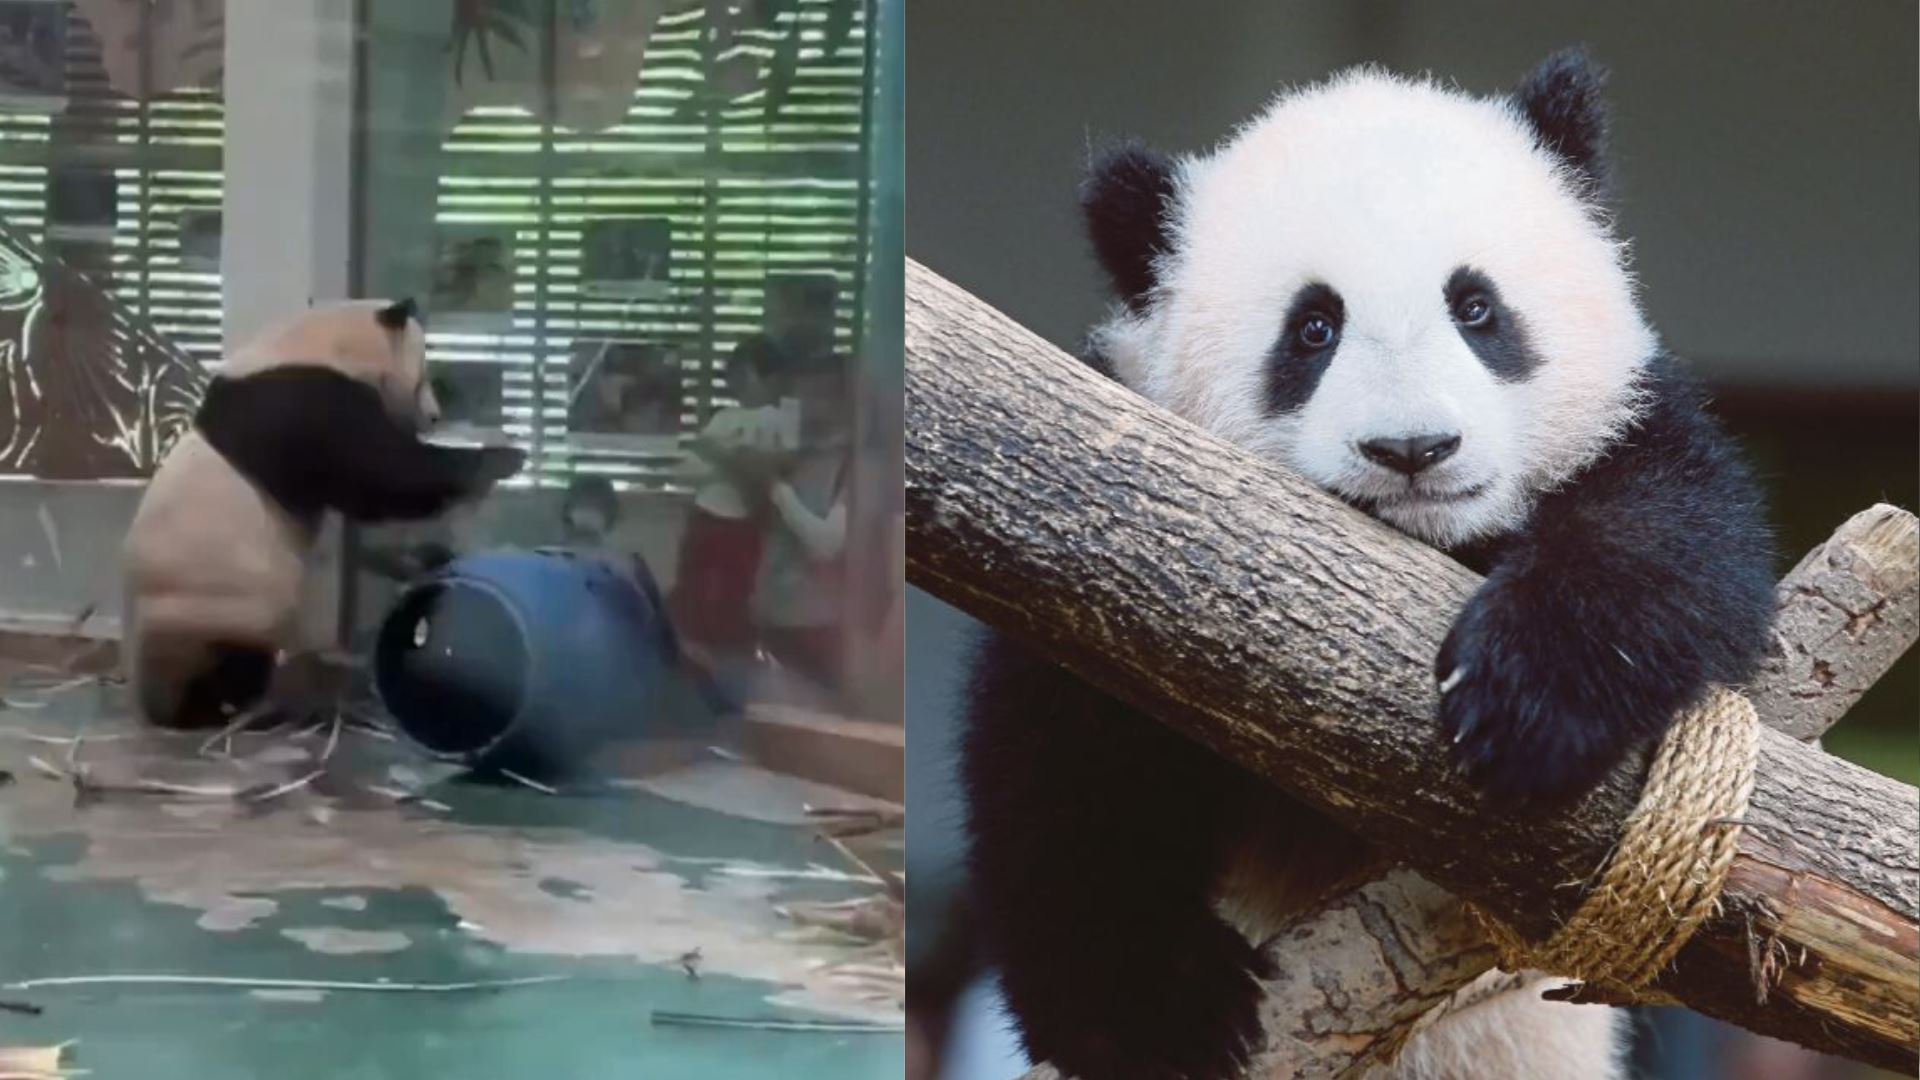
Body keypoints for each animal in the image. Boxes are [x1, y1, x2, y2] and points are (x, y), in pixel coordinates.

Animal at [123, 298, 526, 730]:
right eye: (422, 373)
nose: (434, 416)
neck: (324, 344)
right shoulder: (306, 403)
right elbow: (380, 476)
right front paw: (500, 460)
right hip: (215, 606)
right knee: (232, 661)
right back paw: (222, 709)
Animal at [961, 49, 1776, 1080]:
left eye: (1477, 308)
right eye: (1313, 329)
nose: (1413, 449)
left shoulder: (1630, 423)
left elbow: (1669, 533)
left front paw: (1524, 702)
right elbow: (1065, 752)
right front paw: (1155, 1014)